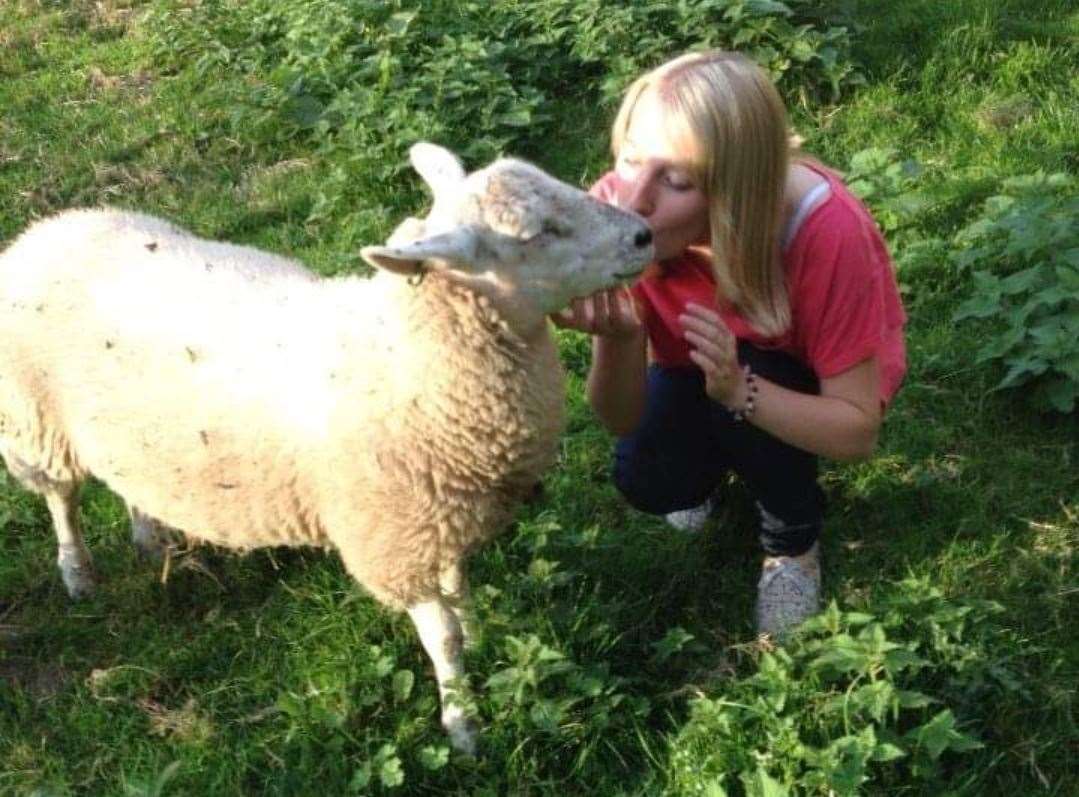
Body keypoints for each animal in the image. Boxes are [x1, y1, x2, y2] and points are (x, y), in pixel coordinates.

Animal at [0, 143, 651, 754]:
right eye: (537, 233)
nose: (644, 234)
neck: (408, 360)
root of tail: (44, 229)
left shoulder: (443, 516)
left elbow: (461, 595)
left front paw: (482, 639)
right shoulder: (394, 539)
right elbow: (441, 637)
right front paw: (462, 722)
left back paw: (149, 537)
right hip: (36, 421)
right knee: (62, 499)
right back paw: (78, 573)